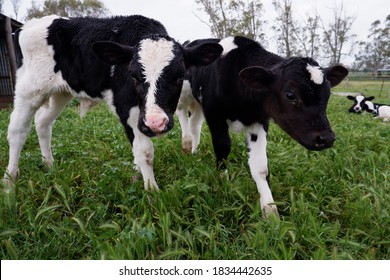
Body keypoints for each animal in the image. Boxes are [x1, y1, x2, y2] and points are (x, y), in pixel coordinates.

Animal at [2, 14, 222, 190]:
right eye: (133, 76)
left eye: (180, 76)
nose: (156, 123)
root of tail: (24, 27)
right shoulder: (127, 107)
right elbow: (145, 151)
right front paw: (153, 194)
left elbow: (137, 149)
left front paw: (138, 173)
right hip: (29, 90)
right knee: (17, 130)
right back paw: (10, 179)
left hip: (61, 92)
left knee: (43, 123)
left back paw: (49, 164)